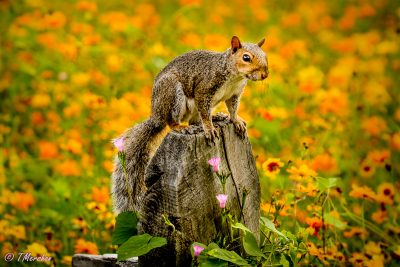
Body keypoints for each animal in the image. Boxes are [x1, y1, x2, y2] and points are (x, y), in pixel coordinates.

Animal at [111, 36, 268, 214]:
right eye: (246, 57)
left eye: (265, 55)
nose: (264, 74)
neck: (235, 77)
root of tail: (156, 115)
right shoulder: (204, 89)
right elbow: (204, 113)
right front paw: (209, 129)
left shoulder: (234, 94)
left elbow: (233, 109)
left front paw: (235, 121)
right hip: (172, 93)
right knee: (172, 121)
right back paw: (183, 127)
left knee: (195, 120)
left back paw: (217, 117)